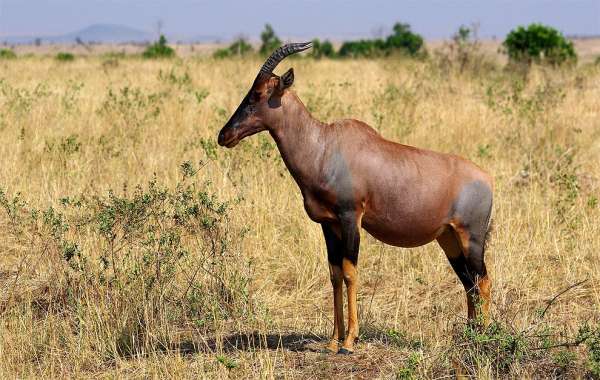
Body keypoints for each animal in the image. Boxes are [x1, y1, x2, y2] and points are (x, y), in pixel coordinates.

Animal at [218, 41, 494, 354]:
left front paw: (349, 342)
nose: (224, 136)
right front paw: (332, 341)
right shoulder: (329, 225)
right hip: (448, 239)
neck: (324, 145)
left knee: (483, 280)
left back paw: (484, 338)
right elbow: (335, 274)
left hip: (471, 237)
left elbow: (351, 273)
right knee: (468, 282)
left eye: (258, 94)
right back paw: (469, 336)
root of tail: (487, 179)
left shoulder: (351, 218)